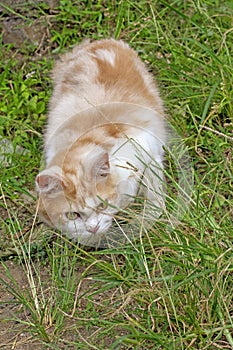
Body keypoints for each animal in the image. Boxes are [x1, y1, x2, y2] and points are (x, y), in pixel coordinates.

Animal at [36, 39, 166, 246]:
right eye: (72, 215)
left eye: (102, 205)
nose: (93, 227)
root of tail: (96, 43)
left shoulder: (149, 150)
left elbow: (154, 194)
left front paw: (150, 218)